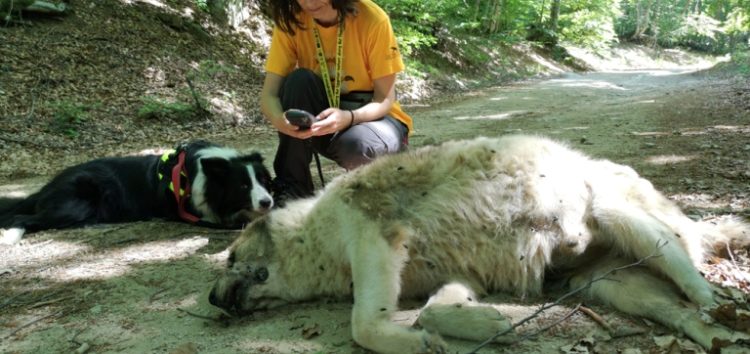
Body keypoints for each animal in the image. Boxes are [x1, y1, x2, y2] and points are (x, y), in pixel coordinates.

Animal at [0, 140, 276, 245]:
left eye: (264, 180)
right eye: (243, 186)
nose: (267, 201)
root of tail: (47, 186)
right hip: (76, 202)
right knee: (20, 217)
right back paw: (11, 237)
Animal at [207, 134, 750, 352]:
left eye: (231, 257)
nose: (211, 300)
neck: (316, 235)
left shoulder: (375, 240)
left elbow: (364, 326)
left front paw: (414, 343)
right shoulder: (457, 277)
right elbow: (432, 310)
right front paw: (483, 326)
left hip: (625, 222)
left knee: (695, 281)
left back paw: (722, 302)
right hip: (607, 286)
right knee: (683, 314)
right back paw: (719, 336)